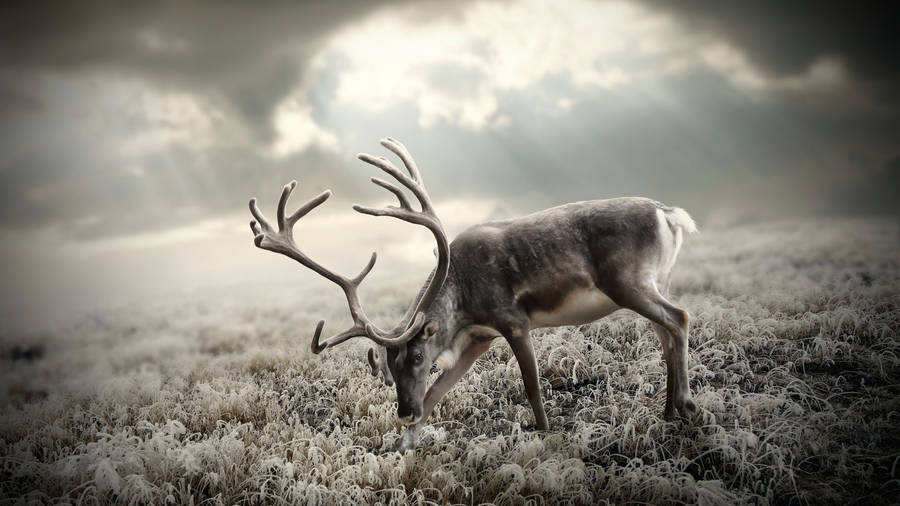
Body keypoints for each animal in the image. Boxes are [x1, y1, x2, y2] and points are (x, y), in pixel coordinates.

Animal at [249, 138, 698, 451]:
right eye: (389, 364)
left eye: (416, 356)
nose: (403, 411)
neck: (463, 303)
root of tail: (670, 214)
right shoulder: (479, 338)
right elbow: (436, 393)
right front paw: (404, 444)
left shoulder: (511, 321)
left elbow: (532, 386)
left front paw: (545, 434)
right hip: (653, 282)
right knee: (665, 333)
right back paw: (668, 412)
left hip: (628, 282)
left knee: (679, 318)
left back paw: (688, 404)